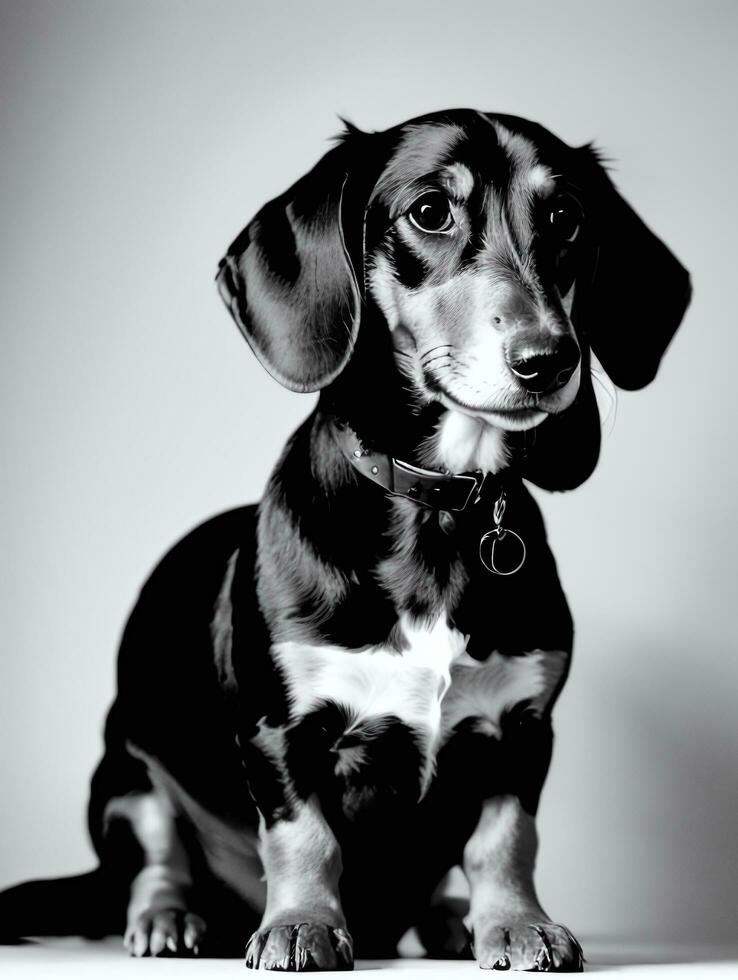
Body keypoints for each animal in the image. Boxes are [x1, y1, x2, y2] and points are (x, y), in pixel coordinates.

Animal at [0, 111, 688, 968]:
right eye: (431, 212)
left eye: (565, 218)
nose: (549, 360)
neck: (437, 507)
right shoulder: (281, 734)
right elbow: (303, 838)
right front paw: (302, 923)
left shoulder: (523, 731)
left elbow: (506, 841)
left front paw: (517, 922)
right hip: (125, 769)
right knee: (155, 856)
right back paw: (170, 918)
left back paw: (451, 920)